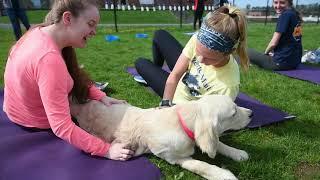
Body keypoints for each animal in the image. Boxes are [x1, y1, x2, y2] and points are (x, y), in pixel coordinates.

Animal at [70, 95, 252, 179]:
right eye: (234, 113)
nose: (251, 113)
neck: (182, 122)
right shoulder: (174, 157)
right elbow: (200, 165)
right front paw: (224, 175)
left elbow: (218, 143)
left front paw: (237, 153)